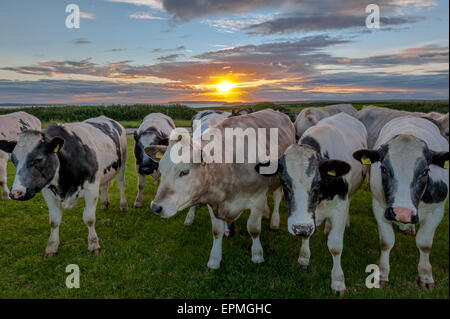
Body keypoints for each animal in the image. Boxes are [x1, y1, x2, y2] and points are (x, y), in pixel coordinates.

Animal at [0, 116, 128, 256]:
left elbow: (89, 218)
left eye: (38, 159)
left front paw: (94, 244)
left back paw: (123, 205)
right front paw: (51, 247)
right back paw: (104, 203)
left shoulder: (91, 188)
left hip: (122, 165)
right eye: (13, 160)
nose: (16, 193)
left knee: (121, 184)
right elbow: (54, 221)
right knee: (105, 185)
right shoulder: (47, 192)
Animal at [258, 114, 368, 296]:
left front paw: (338, 282)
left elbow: (335, 246)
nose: (300, 227)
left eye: (317, 183)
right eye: (285, 183)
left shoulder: (340, 206)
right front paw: (303, 258)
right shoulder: (307, 219)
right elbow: (306, 235)